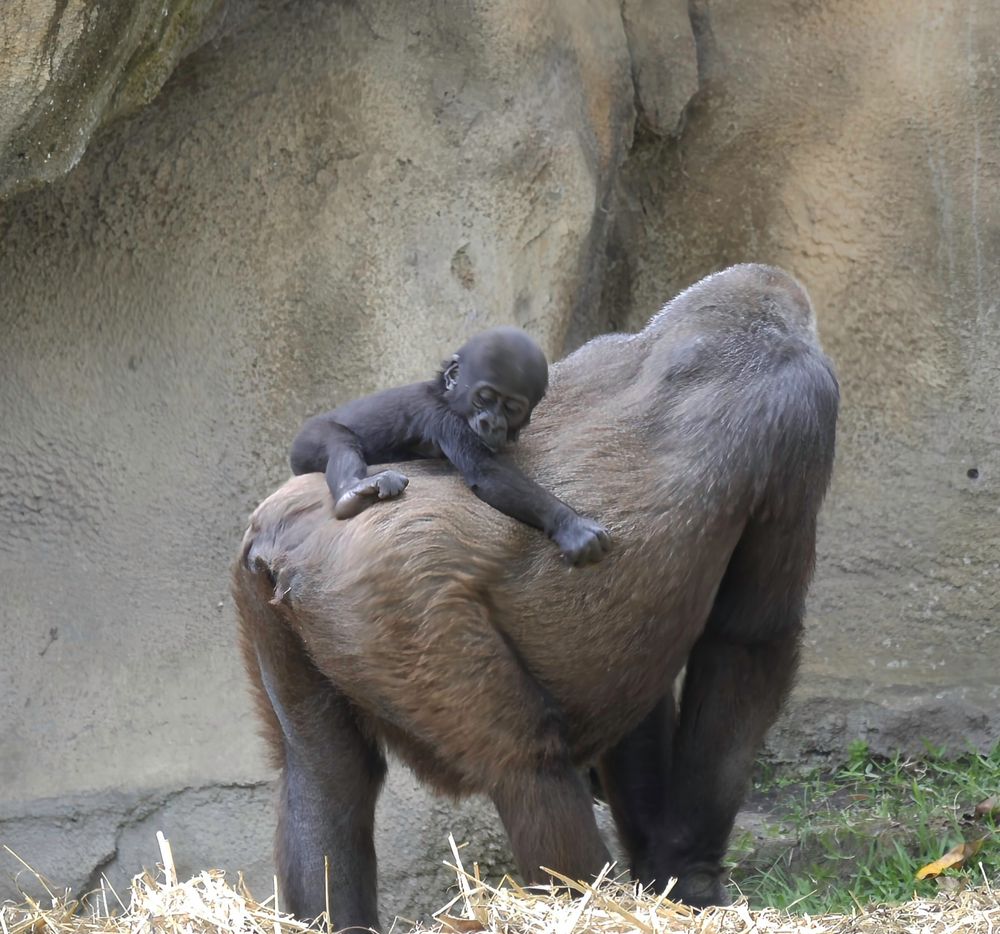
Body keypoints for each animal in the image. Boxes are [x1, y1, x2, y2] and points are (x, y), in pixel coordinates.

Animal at [289, 326, 610, 566]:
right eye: (484, 398)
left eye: (511, 408)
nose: (491, 423)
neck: (445, 394)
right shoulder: (445, 418)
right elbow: (487, 473)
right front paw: (570, 524)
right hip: (307, 439)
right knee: (339, 442)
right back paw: (351, 492)